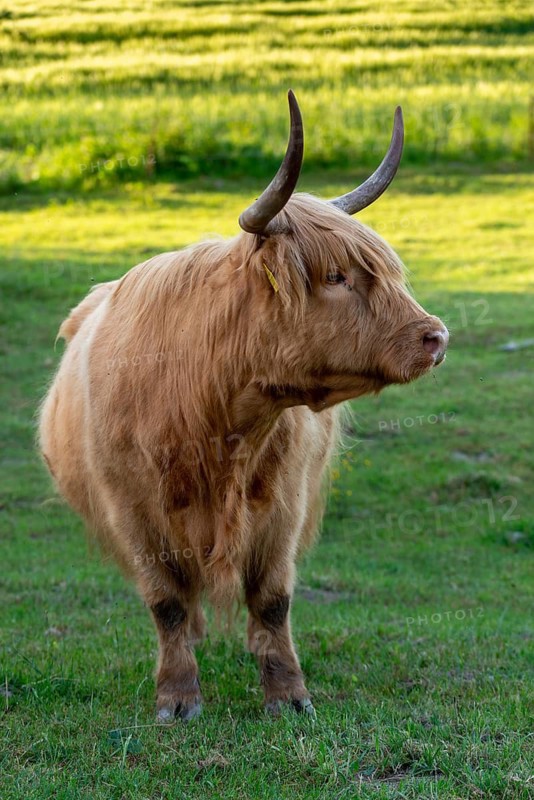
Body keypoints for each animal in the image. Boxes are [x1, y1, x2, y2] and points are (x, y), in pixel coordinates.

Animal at [39, 91, 448, 722]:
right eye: (335, 276)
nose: (435, 337)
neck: (213, 413)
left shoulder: (282, 506)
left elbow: (273, 600)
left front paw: (289, 695)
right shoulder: (131, 510)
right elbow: (166, 602)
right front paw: (177, 697)